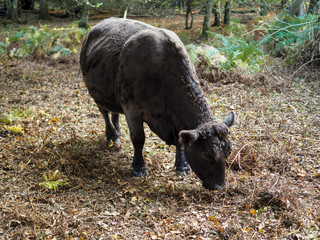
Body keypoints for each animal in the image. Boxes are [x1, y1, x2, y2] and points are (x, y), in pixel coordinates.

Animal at [80, 17, 235, 190]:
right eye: (206, 154)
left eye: (228, 151)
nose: (219, 186)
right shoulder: (132, 110)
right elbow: (138, 139)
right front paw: (139, 167)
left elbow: (180, 141)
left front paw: (182, 166)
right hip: (97, 93)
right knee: (105, 114)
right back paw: (112, 136)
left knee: (114, 112)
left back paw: (118, 132)